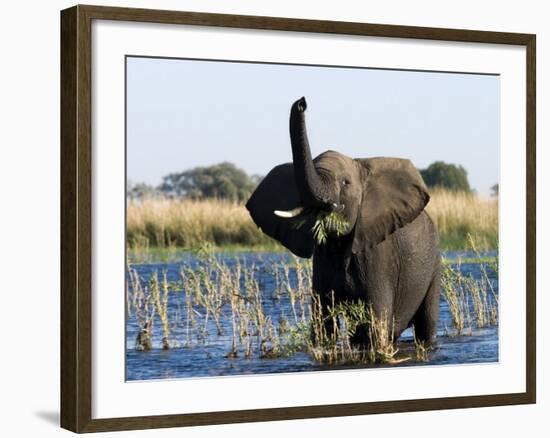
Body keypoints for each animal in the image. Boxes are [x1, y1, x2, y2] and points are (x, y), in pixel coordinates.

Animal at [248, 96, 442, 346]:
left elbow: (375, 324)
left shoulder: (379, 256)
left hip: (434, 264)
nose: (302, 102)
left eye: (345, 183)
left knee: (426, 323)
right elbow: (322, 325)